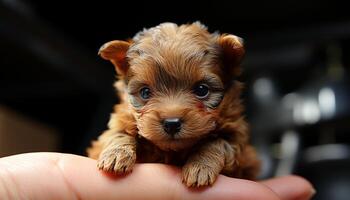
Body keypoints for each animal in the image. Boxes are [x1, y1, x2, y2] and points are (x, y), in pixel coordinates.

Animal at [87, 22, 260, 188]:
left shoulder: (237, 140)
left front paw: (200, 167)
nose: (171, 124)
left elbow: (217, 143)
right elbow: (117, 134)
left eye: (202, 90)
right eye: (145, 92)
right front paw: (116, 155)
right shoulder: (119, 121)